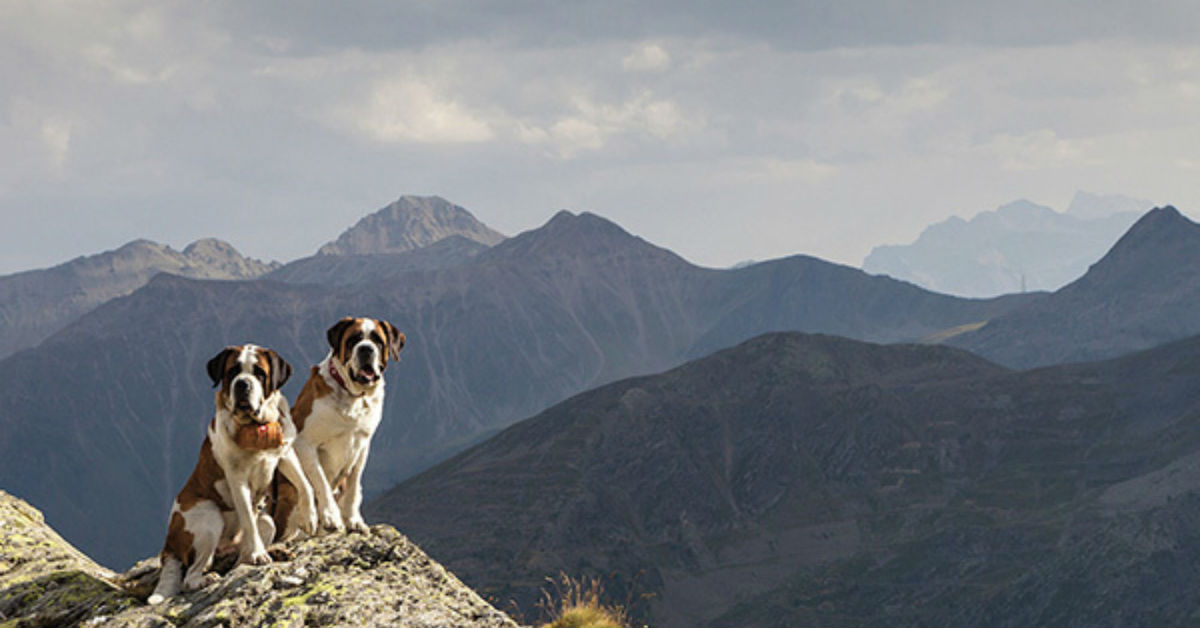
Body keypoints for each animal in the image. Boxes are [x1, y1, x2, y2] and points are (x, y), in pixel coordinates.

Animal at [148, 343, 319, 605]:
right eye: (232, 372)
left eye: (259, 373)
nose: (242, 384)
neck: (256, 427)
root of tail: (168, 544)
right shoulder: (238, 480)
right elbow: (247, 517)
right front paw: (258, 554)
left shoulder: (285, 453)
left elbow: (304, 483)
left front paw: (309, 517)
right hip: (208, 517)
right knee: (191, 575)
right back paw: (207, 578)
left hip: (266, 522)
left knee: (242, 556)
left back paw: (269, 552)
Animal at [274, 317, 405, 537]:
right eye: (354, 340)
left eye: (377, 341)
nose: (366, 349)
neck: (353, 395)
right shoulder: (304, 442)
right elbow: (320, 480)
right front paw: (330, 517)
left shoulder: (363, 445)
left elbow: (353, 484)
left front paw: (353, 520)